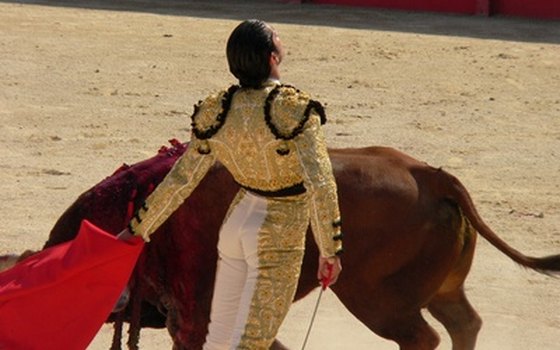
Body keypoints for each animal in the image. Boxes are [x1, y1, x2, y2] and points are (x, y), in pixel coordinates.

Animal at [38, 142, 560, 350]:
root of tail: (431, 175)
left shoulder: (193, 317)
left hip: (376, 298)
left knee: (422, 337)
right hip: (438, 289)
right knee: (464, 322)